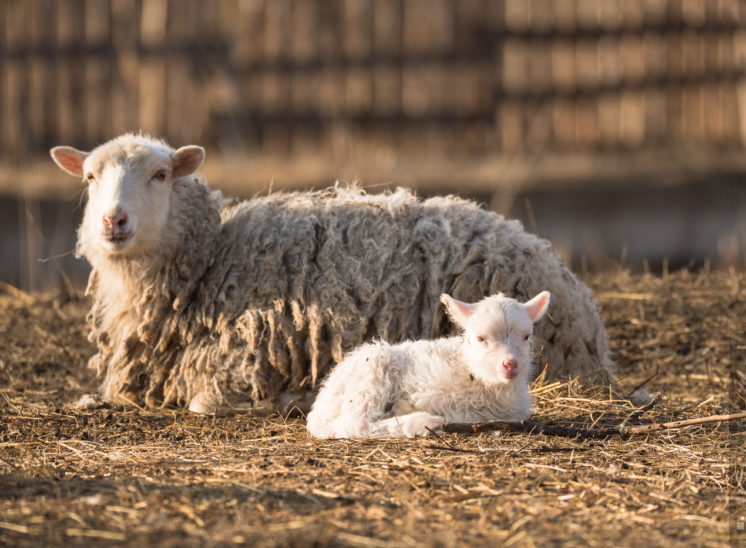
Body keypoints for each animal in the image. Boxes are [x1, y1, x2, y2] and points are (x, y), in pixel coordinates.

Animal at [50, 135, 612, 414]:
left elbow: (203, 404)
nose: (114, 221)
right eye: (90, 176)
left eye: (161, 175)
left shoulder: (242, 362)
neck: (210, 262)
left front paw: (282, 401)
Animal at [306, 288, 548, 438]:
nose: (510, 364)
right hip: (372, 372)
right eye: (481, 338)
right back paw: (424, 422)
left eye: (526, 336)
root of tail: (319, 409)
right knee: (355, 423)